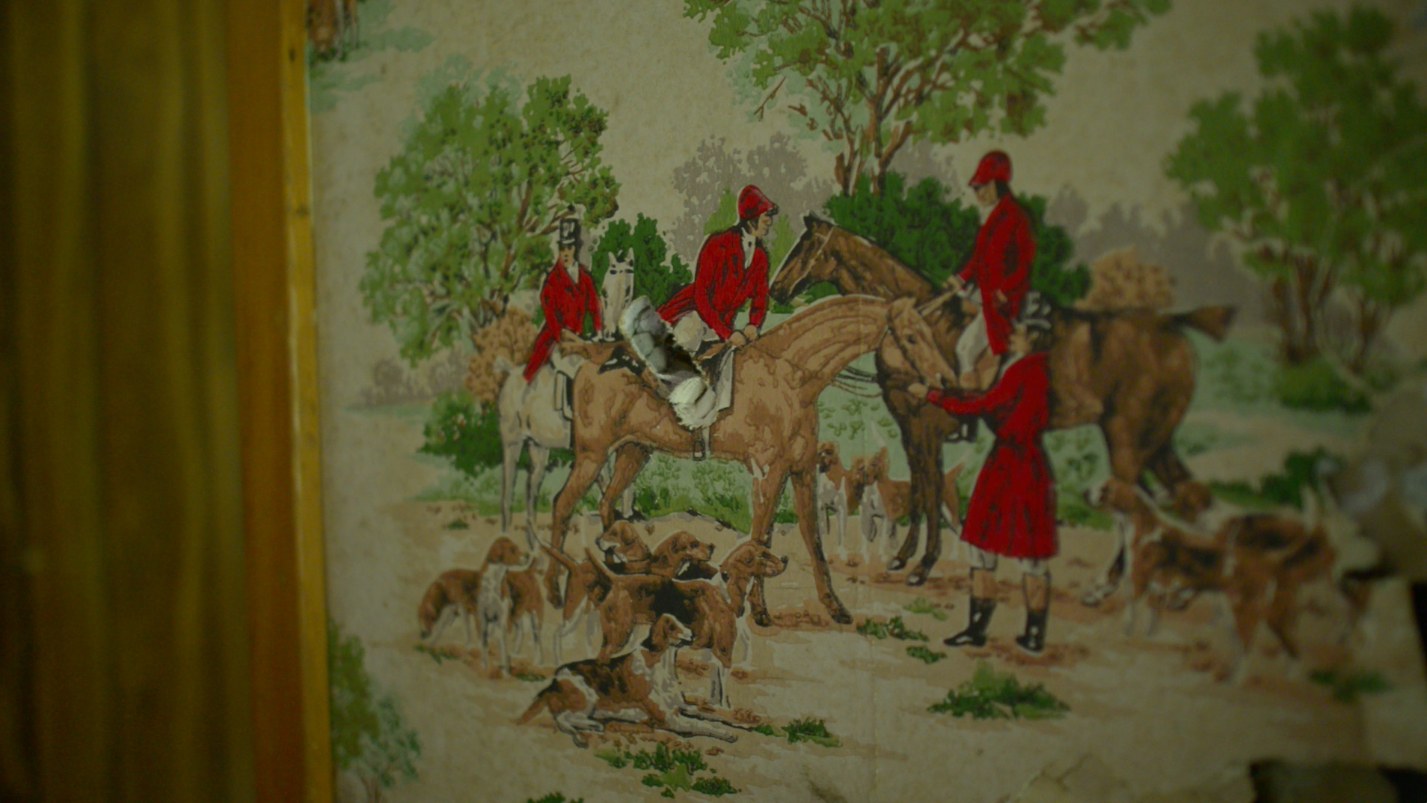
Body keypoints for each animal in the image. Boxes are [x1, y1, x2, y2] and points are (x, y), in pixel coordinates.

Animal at [516, 614, 742, 748]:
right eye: (671, 626)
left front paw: (738, 724)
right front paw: (726, 734)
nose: (694, 634)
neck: (660, 667)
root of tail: (555, 680)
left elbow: (710, 714)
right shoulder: (670, 718)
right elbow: (702, 725)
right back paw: (586, 730)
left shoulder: (683, 707)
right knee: (562, 720)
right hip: (587, 698)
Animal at [544, 295, 958, 625]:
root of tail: (594, 356)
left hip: (634, 452)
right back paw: (552, 591)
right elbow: (761, 537)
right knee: (563, 506)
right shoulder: (767, 474)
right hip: (592, 455)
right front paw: (759, 611)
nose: (946, 380)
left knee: (607, 505)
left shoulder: (802, 471)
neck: (789, 376)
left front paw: (835, 606)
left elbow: (813, 539)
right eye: (911, 337)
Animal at [581, 540, 789, 708]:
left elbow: (715, 688)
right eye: (762, 555)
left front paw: (713, 707)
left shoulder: (713, 655)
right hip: (618, 638)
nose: (785, 558)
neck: (724, 593)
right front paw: (727, 710)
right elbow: (724, 689)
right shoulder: (724, 652)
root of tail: (615, 581)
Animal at [770, 217, 1235, 602]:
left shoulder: (927, 429)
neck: (921, 328)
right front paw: (904, 557)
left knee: (1133, 505)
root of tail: (1171, 324)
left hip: (1126, 438)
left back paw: (1109, 584)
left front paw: (923, 565)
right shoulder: (910, 429)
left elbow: (932, 489)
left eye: (803, 247)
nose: (775, 289)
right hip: (1154, 440)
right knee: (1185, 498)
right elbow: (919, 488)